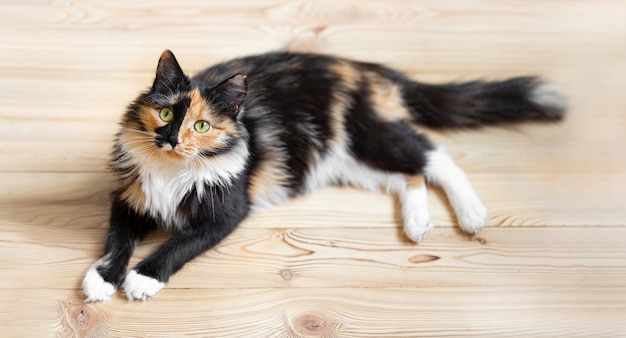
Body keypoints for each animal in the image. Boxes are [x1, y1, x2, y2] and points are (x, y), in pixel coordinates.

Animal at [80, 49, 564, 302]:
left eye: (201, 126)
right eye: (164, 113)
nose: (171, 140)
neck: (172, 171)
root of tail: (366, 67)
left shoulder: (226, 212)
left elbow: (179, 244)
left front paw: (141, 279)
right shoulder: (128, 198)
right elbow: (117, 241)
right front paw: (102, 280)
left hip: (367, 136)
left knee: (434, 156)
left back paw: (471, 215)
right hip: (350, 161)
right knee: (408, 177)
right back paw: (418, 225)